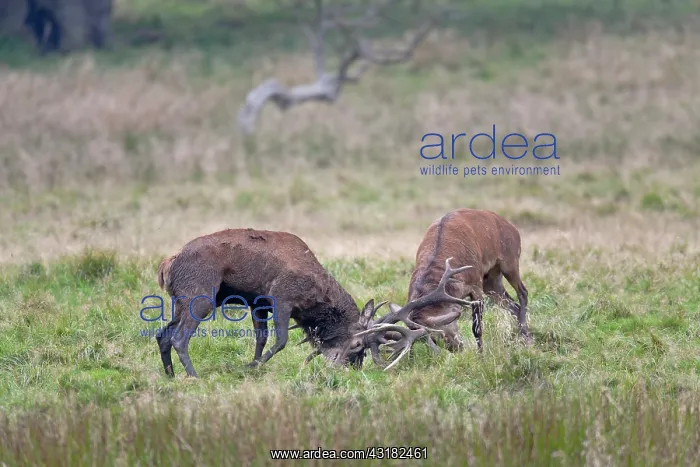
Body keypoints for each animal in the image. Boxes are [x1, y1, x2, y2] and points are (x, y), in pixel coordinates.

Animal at [355, 208, 531, 369]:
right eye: (431, 339)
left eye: (438, 333)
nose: (458, 348)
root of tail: (512, 227)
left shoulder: (475, 284)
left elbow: (477, 329)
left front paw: (481, 358)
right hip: (491, 280)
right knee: (512, 305)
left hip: (510, 261)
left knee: (523, 293)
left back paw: (528, 339)